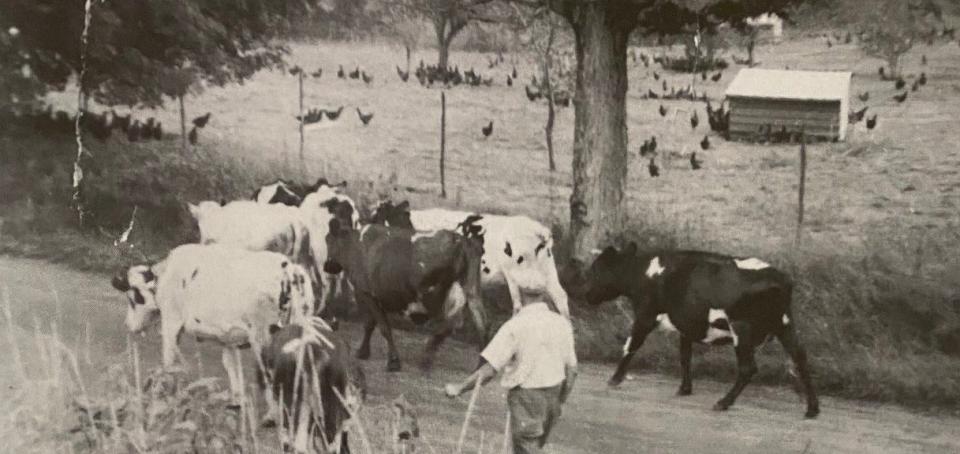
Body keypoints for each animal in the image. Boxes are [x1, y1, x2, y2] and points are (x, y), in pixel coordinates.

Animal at [111, 245, 316, 408]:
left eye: (132, 297)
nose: (128, 324)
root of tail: (289, 269)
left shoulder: (171, 322)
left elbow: (168, 360)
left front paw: (161, 393)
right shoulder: (230, 338)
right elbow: (231, 367)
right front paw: (236, 402)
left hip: (263, 336)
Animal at [322, 199, 488, 372]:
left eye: (328, 240)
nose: (327, 266)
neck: (355, 245)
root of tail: (463, 241)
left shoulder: (365, 293)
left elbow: (380, 326)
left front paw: (392, 361)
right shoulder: (376, 296)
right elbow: (372, 324)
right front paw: (364, 352)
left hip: (434, 296)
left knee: (450, 324)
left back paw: (426, 357)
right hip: (471, 291)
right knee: (482, 324)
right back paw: (480, 364)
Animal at [370, 200, 568, 318]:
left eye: (378, 217)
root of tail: (539, 230)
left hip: (516, 276)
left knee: (519, 305)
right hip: (547, 274)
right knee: (560, 298)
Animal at [576, 245, 816, 418]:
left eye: (595, 270)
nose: (585, 294)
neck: (643, 273)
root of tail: (782, 279)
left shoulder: (646, 316)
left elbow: (630, 346)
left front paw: (614, 379)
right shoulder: (686, 325)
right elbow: (685, 356)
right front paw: (685, 389)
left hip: (742, 328)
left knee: (748, 368)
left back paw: (723, 403)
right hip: (785, 325)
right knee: (801, 358)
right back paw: (812, 409)